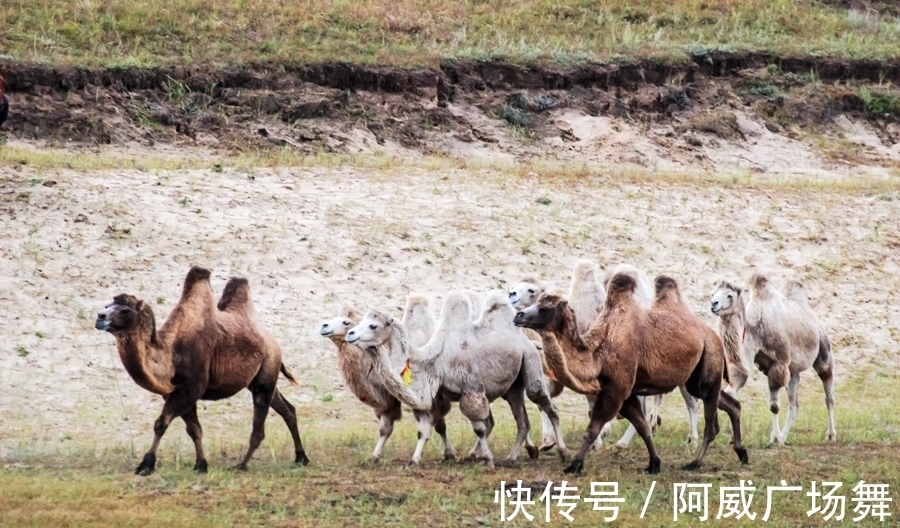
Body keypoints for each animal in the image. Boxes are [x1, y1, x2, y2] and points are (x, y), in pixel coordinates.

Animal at [92, 266, 308, 476]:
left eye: (125, 310)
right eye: (106, 306)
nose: (100, 317)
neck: (170, 354)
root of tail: (272, 341)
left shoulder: (192, 387)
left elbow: (161, 423)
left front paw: (146, 465)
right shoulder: (176, 391)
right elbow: (194, 429)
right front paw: (201, 465)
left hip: (267, 367)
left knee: (259, 424)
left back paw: (241, 465)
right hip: (259, 378)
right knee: (287, 409)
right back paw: (301, 457)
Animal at [318, 302, 458, 462]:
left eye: (346, 322)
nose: (323, 326)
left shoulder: (429, 397)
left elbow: (438, 426)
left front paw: (448, 453)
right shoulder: (387, 400)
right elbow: (385, 429)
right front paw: (374, 456)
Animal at [342, 290, 564, 468]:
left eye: (373, 325)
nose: (350, 334)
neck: (434, 361)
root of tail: (530, 342)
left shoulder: (471, 389)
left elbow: (479, 429)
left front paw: (488, 460)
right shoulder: (434, 396)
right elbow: (424, 430)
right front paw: (413, 461)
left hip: (531, 363)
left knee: (546, 405)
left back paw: (562, 451)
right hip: (513, 388)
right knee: (522, 421)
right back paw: (511, 458)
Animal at [512, 272, 744, 474]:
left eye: (544, 308)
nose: (518, 316)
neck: (599, 350)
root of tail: (712, 334)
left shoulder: (617, 389)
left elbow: (593, 428)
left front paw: (574, 465)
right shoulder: (626, 393)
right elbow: (643, 427)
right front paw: (654, 464)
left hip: (709, 362)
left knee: (711, 423)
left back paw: (695, 462)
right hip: (695, 379)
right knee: (730, 404)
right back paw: (741, 452)